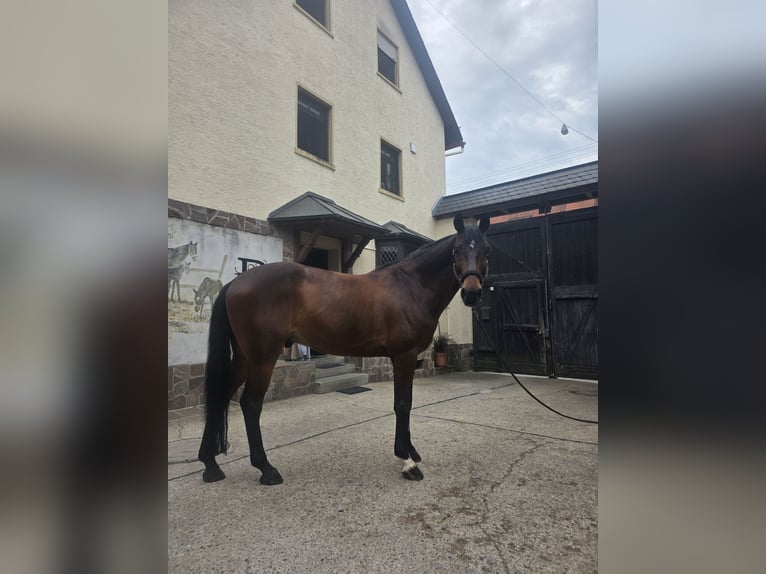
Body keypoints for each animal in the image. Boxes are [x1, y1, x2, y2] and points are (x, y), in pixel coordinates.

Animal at [197, 213, 490, 484]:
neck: (411, 286)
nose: (472, 293)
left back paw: (210, 464)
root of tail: (236, 283)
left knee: (221, 395)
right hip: (262, 358)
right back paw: (266, 469)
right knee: (250, 404)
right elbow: (403, 404)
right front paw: (406, 461)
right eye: (457, 250)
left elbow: (406, 402)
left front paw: (411, 452)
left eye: (486, 250)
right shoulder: (403, 356)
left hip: (245, 358)